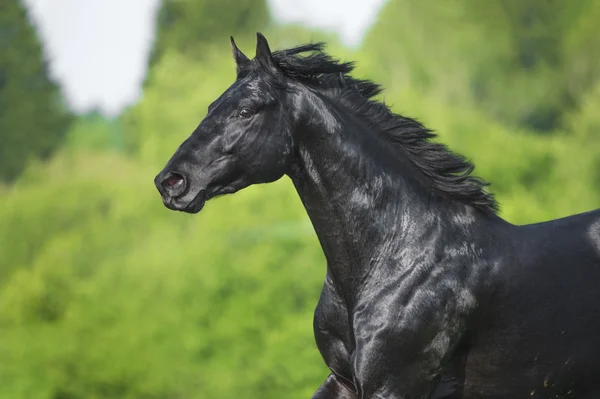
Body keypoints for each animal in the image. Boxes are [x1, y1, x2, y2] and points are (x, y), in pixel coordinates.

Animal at [155, 32, 600, 398]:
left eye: (246, 111)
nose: (171, 182)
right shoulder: (343, 381)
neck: (397, 255)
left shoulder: (394, 385)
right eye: (212, 105)